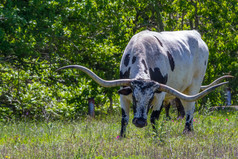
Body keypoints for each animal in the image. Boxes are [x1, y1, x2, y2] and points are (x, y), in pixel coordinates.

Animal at [57, 30, 231, 138]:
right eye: (134, 97)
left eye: (150, 98)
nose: (140, 122)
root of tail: (196, 34)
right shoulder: (124, 93)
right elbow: (124, 117)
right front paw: (122, 136)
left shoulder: (160, 94)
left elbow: (154, 117)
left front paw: (156, 136)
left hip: (194, 85)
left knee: (190, 108)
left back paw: (187, 131)